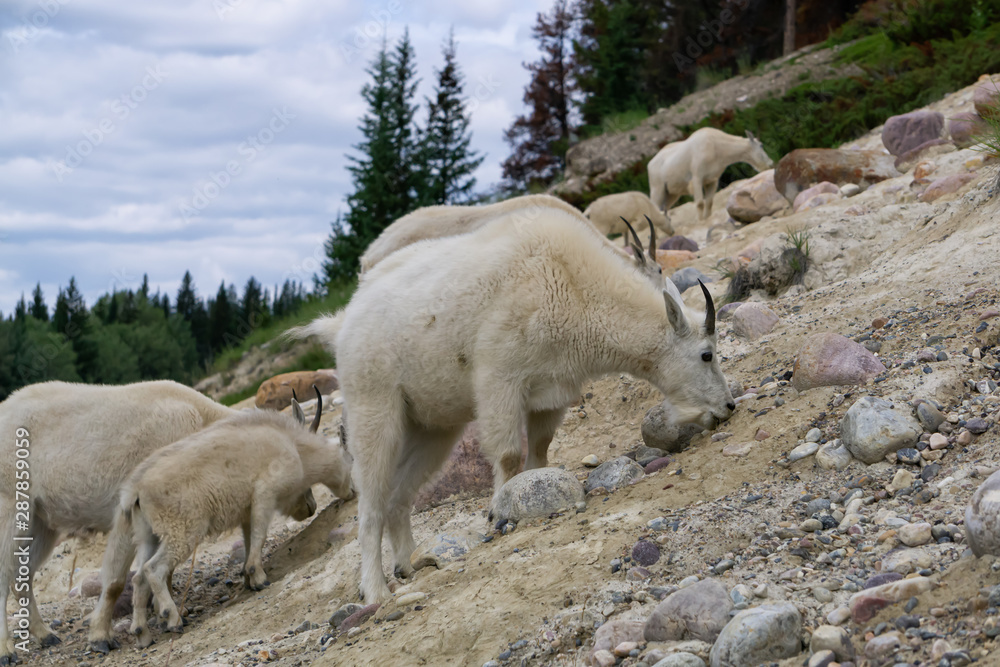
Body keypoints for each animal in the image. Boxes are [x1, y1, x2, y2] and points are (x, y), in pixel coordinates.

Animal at [0, 380, 235, 662]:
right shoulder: (129, 510)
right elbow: (115, 581)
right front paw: (101, 637)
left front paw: (165, 615)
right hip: (9, 505)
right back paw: (6, 650)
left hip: (39, 520)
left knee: (21, 576)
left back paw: (46, 635)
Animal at [123, 389, 353, 647]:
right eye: (350, 459)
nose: (310, 507)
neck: (293, 446)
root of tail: (135, 491)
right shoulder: (265, 494)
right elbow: (260, 535)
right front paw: (259, 578)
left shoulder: (247, 509)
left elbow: (249, 538)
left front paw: (248, 578)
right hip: (182, 531)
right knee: (153, 569)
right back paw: (172, 619)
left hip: (148, 535)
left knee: (138, 577)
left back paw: (142, 633)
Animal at [289, 208, 734, 603]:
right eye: (706, 355)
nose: (728, 406)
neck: (574, 286)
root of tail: (343, 324)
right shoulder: (499, 377)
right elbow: (506, 453)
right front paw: (496, 514)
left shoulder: (552, 391)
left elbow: (539, 451)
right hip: (373, 403)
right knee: (370, 501)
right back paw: (376, 590)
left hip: (432, 426)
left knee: (400, 495)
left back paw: (408, 565)